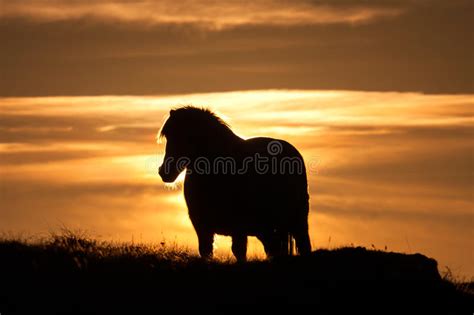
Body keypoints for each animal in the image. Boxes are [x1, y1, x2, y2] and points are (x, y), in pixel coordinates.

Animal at [158, 106, 312, 262]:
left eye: (188, 136)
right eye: (168, 136)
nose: (164, 172)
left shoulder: (239, 228)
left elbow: (239, 252)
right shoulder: (202, 227)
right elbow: (206, 251)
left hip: (296, 221)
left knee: (303, 245)